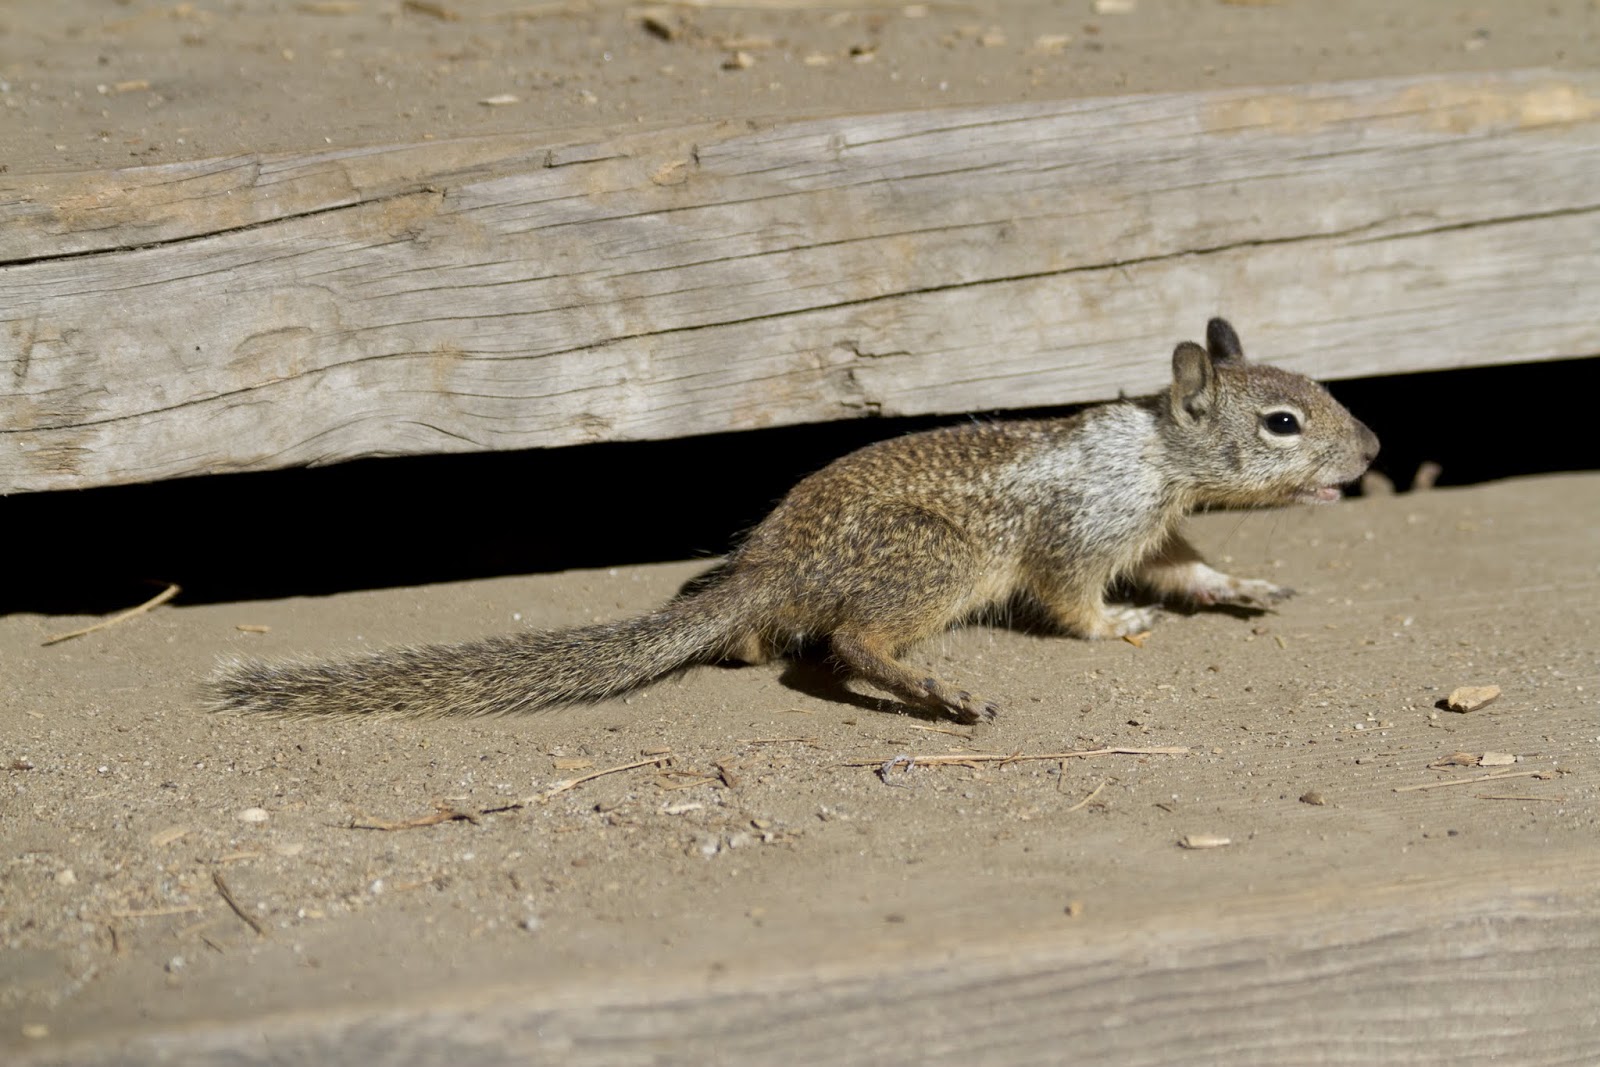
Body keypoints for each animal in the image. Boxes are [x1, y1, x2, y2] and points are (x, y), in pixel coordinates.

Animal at [211, 318, 1379, 724]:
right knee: (850, 641)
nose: (1370, 452)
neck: (1155, 460)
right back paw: (937, 691)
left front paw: (1245, 587)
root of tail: (769, 570)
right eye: (1282, 422)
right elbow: (1072, 601)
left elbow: (1192, 571)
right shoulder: (1081, 536)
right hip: (932, 561)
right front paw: (1118, 626)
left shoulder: (1159, 532)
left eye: (1318, 392)